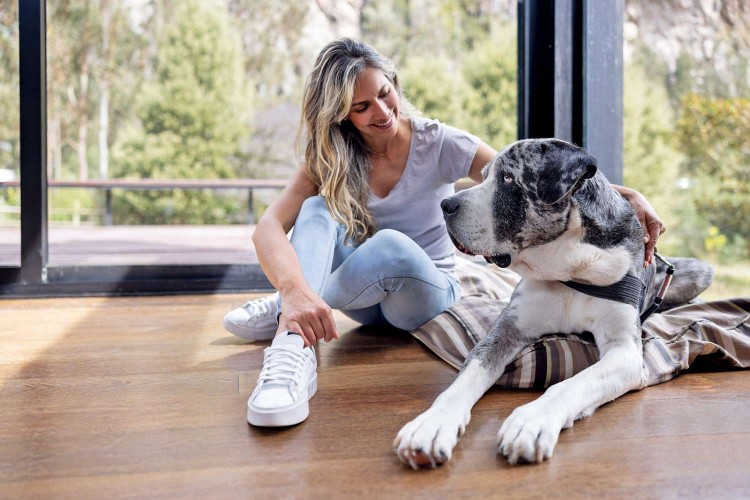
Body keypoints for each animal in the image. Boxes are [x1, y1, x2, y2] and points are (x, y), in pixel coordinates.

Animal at [396, 138, 712, 468]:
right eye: (484, 176)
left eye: (508, 178)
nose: (446, 205)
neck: (568, 266)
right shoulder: (505, 331)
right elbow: (464, 381)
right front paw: (431, 425)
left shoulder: (624, 350)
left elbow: (571, 384)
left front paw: (531, 422)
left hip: (701, 271)